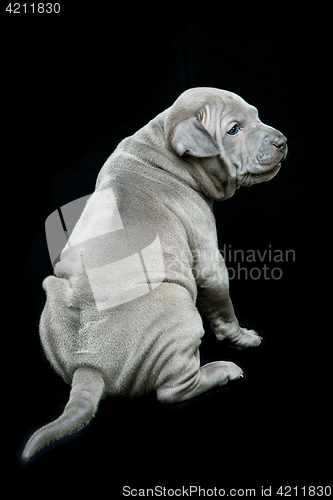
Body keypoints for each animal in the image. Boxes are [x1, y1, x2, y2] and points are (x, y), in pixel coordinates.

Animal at [22, 88, 286, 458]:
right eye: (234, 130)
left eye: (257, 115)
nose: (282, 141)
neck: (162, 149)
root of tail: (88, 366)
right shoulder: (207, 258)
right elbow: (223, 308)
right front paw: (243, 338)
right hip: (179, 308)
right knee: (172, 391)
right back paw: (222, 371)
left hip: (53, 295)